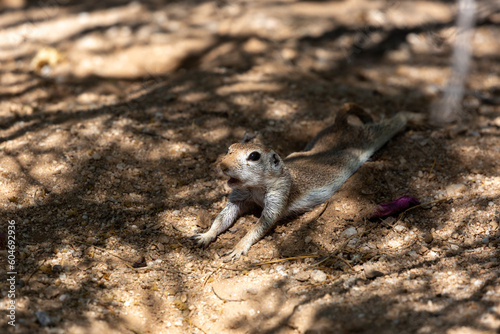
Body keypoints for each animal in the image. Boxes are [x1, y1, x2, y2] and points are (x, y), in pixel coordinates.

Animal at [191, 103, 422, 260]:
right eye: (229, 148)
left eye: (254, 156)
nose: (222, 165)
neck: (254, 188)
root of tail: (341, 125)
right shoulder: (239, 197)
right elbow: (223, 217)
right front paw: (206, 234)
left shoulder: (279, 195)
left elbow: (262, 224)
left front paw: (239, 246)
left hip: (371, 136)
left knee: (393, 122)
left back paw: (414, 116)